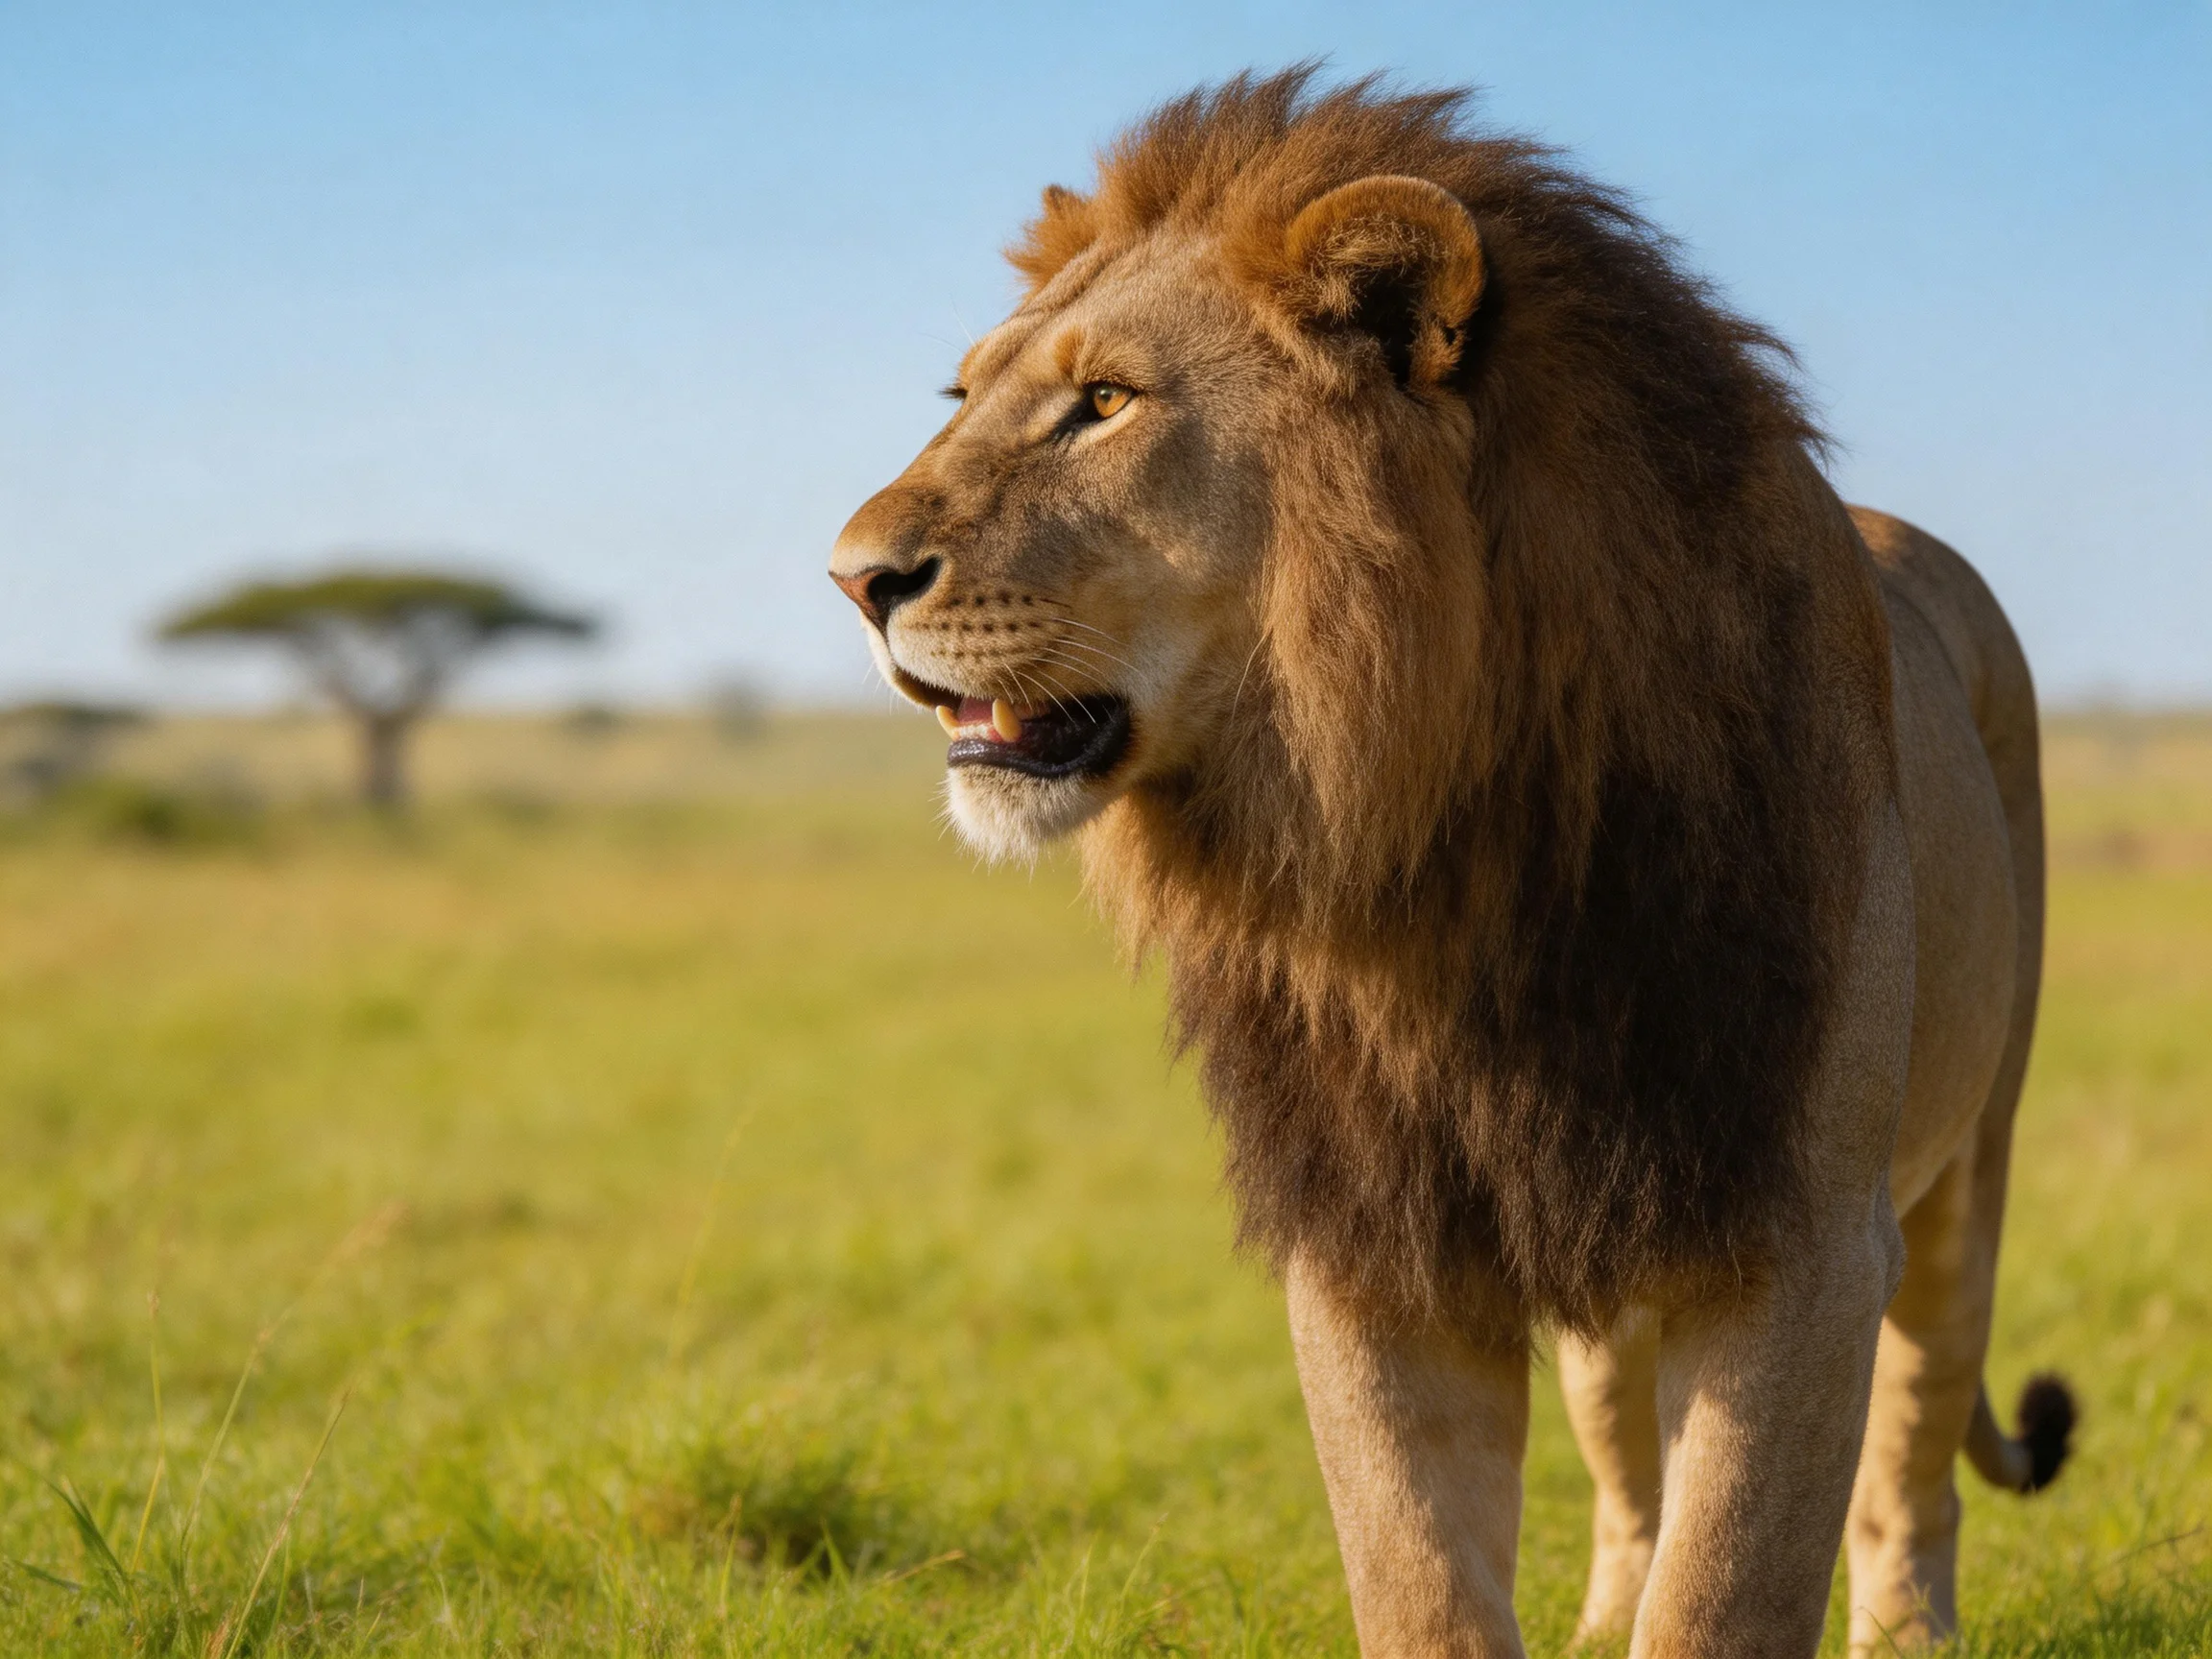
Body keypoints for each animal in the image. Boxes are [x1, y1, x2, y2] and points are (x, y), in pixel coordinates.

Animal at [830, 70, 2074, 1657]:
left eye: (1104, 403)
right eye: (964, 397)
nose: (851, 577)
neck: (1427, 856)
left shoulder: (1800, 1242)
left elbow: (1728, 1588)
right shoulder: (1376, 1235)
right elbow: (1421, 1573)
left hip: (1963, 1171)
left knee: (1916, 1439)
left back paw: (1907, 1623)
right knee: (1627, 1459)